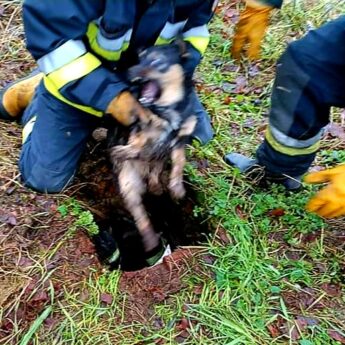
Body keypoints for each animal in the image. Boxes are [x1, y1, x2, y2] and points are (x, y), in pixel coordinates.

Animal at [107, 41, 196, 254]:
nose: (127, 73)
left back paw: (156, 186)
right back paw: (150, 240)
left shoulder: (182, 138)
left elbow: (180, 161)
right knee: (140, 214)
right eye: (139, 59)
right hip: (128, 182)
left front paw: (177, 188)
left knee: (155, 171)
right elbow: (138, 141)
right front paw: (123, 151)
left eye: (156, 61)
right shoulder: (139, 128)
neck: (167, 111)